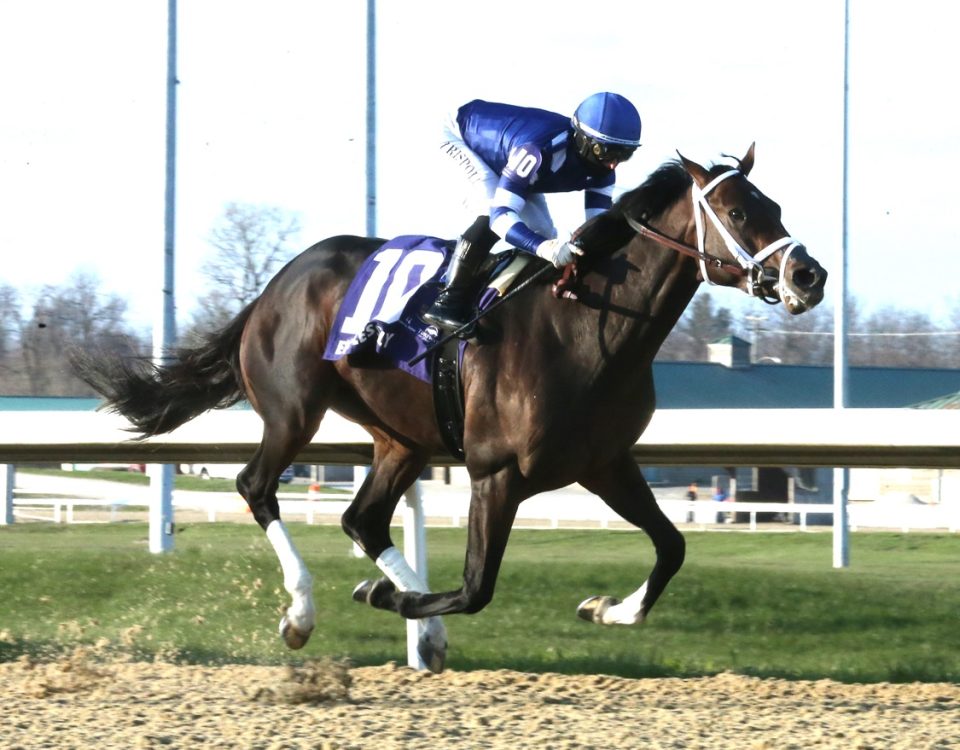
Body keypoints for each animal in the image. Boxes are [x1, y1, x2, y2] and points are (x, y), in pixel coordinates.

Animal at [73, 144, 824, 672]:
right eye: (738, 213)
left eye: (778, 207)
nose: (808, 274)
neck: (591, 327)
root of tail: (273, 286)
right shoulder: (497, 474)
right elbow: (475, 587)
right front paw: (384, 598)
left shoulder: (606, 463)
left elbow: (672, 546)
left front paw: (606, 608)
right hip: (293, 413)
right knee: (257, 486)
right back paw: (304, 612)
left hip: (402, 439)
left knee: (362, 518)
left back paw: (419, 631)